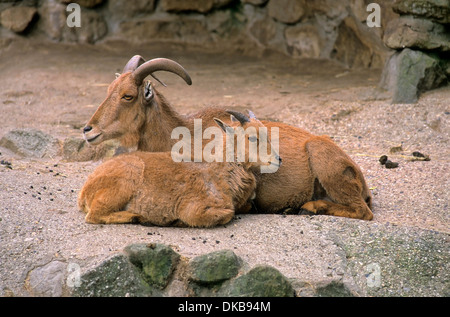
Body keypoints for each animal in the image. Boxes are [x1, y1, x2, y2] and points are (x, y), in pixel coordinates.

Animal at [78, 112, 282, 226]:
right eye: (252, 137)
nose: (278, 159)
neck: (221, 174)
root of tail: (85, 190)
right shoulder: (194, 208)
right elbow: (226, 214)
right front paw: (175, 220)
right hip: (123, 183)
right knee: (94, 215)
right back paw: (138, 217)